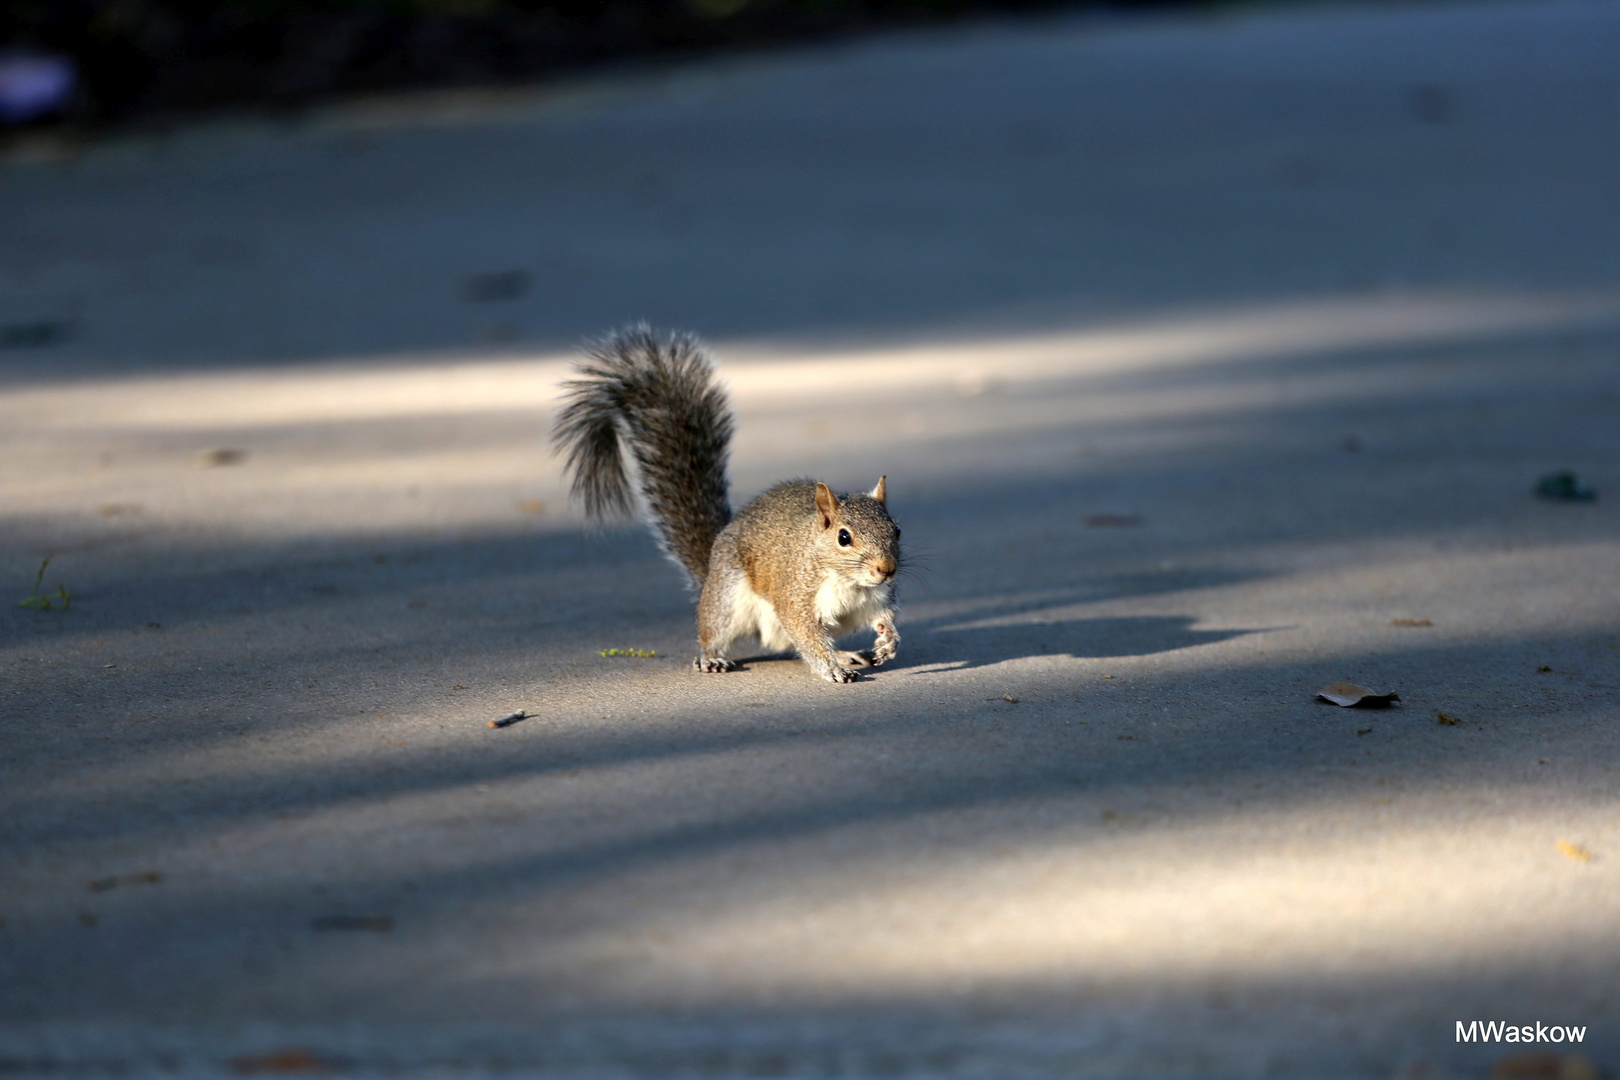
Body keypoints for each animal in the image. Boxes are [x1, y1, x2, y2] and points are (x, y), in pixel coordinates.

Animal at [554, 325, 907, 689]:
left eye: (896, 529)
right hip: (727, 599)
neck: (849, 581)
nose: (887, 569)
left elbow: (882, 619)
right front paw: (832, 669)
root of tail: (711, 567)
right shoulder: (796, 598)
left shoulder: (874, 600)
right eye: (843, 537)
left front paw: (888, 640)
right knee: (717, 633)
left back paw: (845, 653)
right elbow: (808, 637)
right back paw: (711, 658)